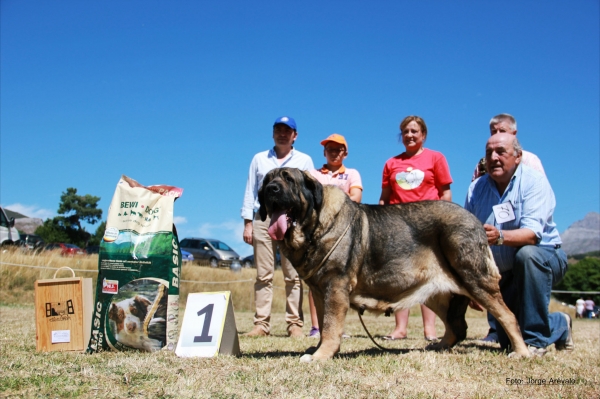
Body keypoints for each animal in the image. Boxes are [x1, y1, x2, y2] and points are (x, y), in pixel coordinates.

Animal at [258, 167, 528, 360]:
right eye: (267, 180)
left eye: (288, 179)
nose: (271, 189)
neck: (313, 227)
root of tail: (476, 220)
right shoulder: (318, 291)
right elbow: (325, 325)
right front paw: (319, 350)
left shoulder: (335, 287)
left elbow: (332, 326)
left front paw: (321, 356)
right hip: (436, 293)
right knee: (456, 327)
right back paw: (436, 347)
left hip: (475, 279)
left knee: (507, 316)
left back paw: (521, 352)